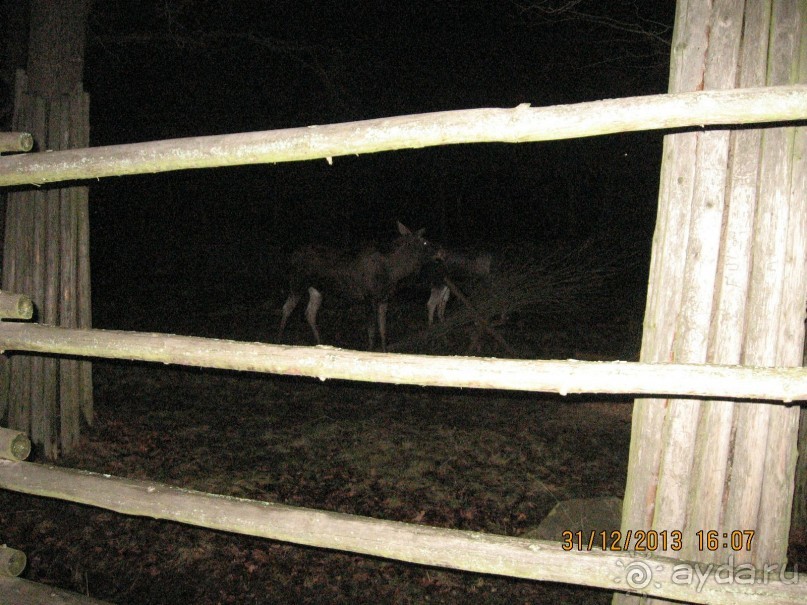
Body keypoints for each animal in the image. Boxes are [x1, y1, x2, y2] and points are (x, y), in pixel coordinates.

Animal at [278, 222, 436, 352]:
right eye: (425, 242)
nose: (438, 251)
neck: (394, 273)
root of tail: (292, 256)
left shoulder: (384, 298)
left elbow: (383, 329)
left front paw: (385, 351)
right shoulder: (369, 297)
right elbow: (371, 330)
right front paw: (370, 350)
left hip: (315, 289)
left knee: (310, 312)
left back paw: (320, 342)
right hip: (297, 282)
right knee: (287, 308)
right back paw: (279, 340)